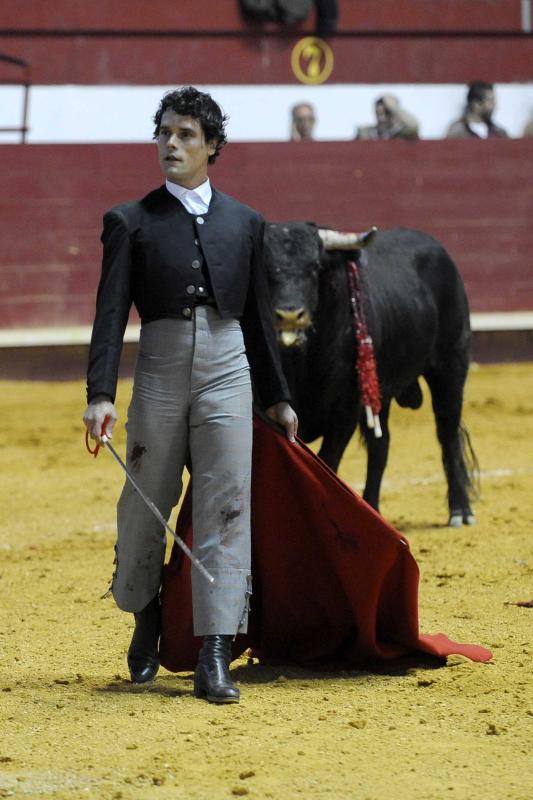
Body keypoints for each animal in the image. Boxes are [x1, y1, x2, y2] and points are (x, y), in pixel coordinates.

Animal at [264, 222, 476, 528]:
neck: (301, 363)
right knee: (381, 447)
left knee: (447, 434)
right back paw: (373, 506)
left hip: (450, 366)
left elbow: (327, 462)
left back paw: (460, 510)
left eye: (314, 267)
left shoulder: (345, 413)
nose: (290, 316)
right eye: (266, 267)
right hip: (381, 394)